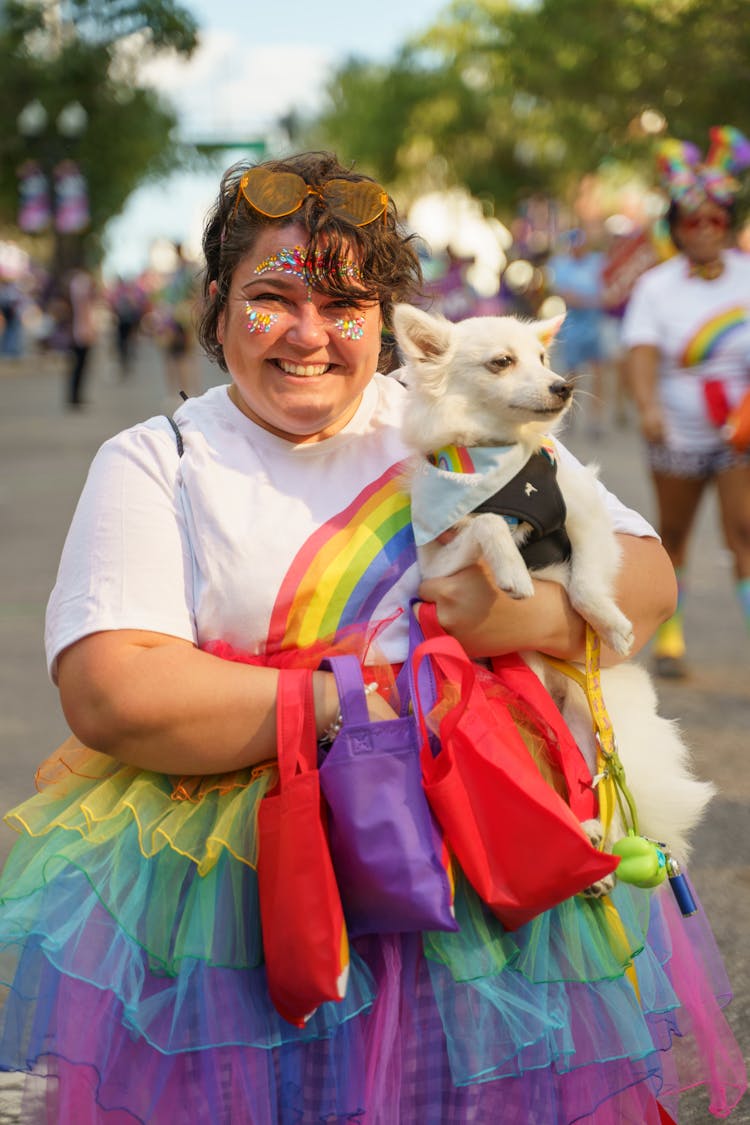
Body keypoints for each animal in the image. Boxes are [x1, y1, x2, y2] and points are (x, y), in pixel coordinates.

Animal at [393, 301, 715, 859]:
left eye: (543, 359)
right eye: (502, 362)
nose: (562, 386)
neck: (496, 467)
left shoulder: (585, 516)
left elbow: (585, 584)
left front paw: (612, 625)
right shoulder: (438, 559)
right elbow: (486, 523)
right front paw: (511, 569)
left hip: (594, 718)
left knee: (609, 790)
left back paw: (597, 837)